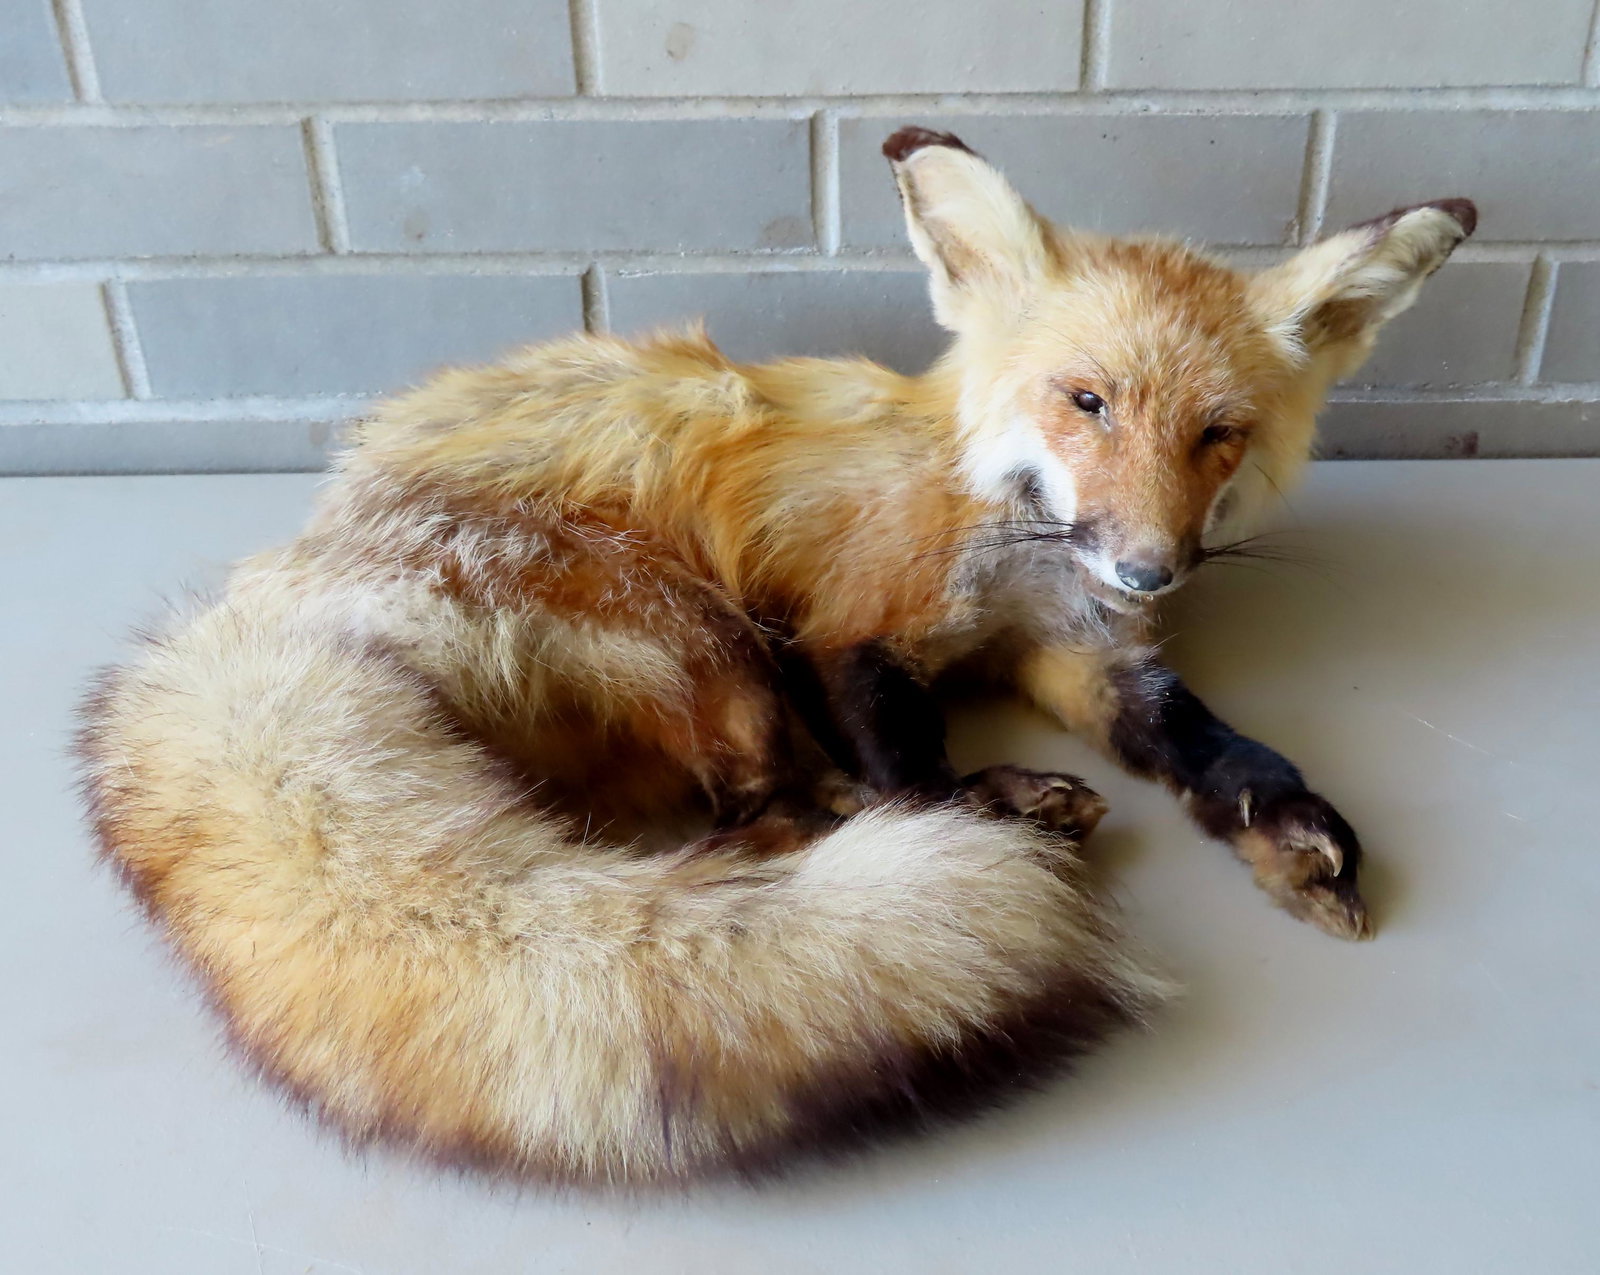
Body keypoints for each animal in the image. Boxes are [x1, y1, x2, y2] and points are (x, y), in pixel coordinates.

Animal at [77, 126, 1475, 1186]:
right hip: (705, 639)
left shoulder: (1075, 652)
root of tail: (284, 585)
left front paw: (1285, 826)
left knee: (769, 817)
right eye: (1087, 403)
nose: (1148, 571)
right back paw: (998, 818)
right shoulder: (842, 627)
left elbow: (1206, 741)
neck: (994, 528)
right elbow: (911, 762)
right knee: (770, 820)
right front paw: (984, 808)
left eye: (1217, 435)